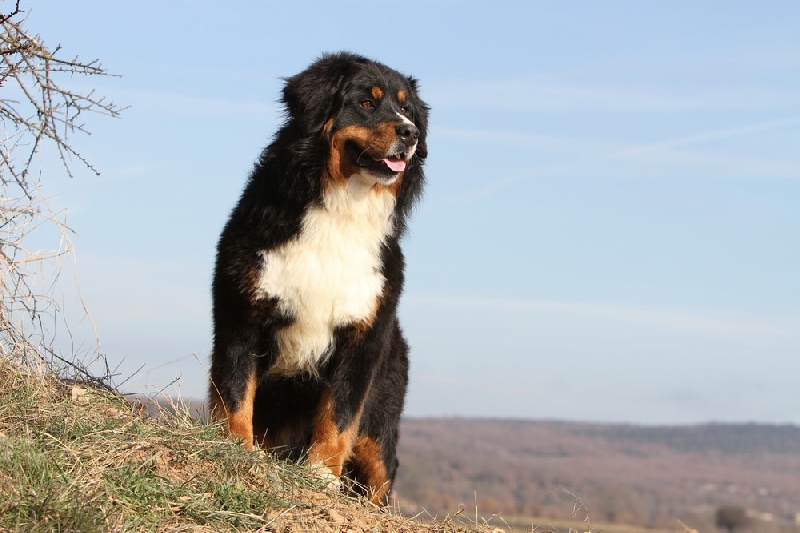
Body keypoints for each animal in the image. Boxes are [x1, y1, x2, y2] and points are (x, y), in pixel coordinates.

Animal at [209, 51, 428, 502]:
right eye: (366, 102)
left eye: (408, 109)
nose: (411, 133)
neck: (342, 208)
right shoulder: (242, 312)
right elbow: (235, 389)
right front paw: (236, 448)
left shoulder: (362, 337)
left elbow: (339, 412)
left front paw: (320, 475)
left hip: (379, 431)